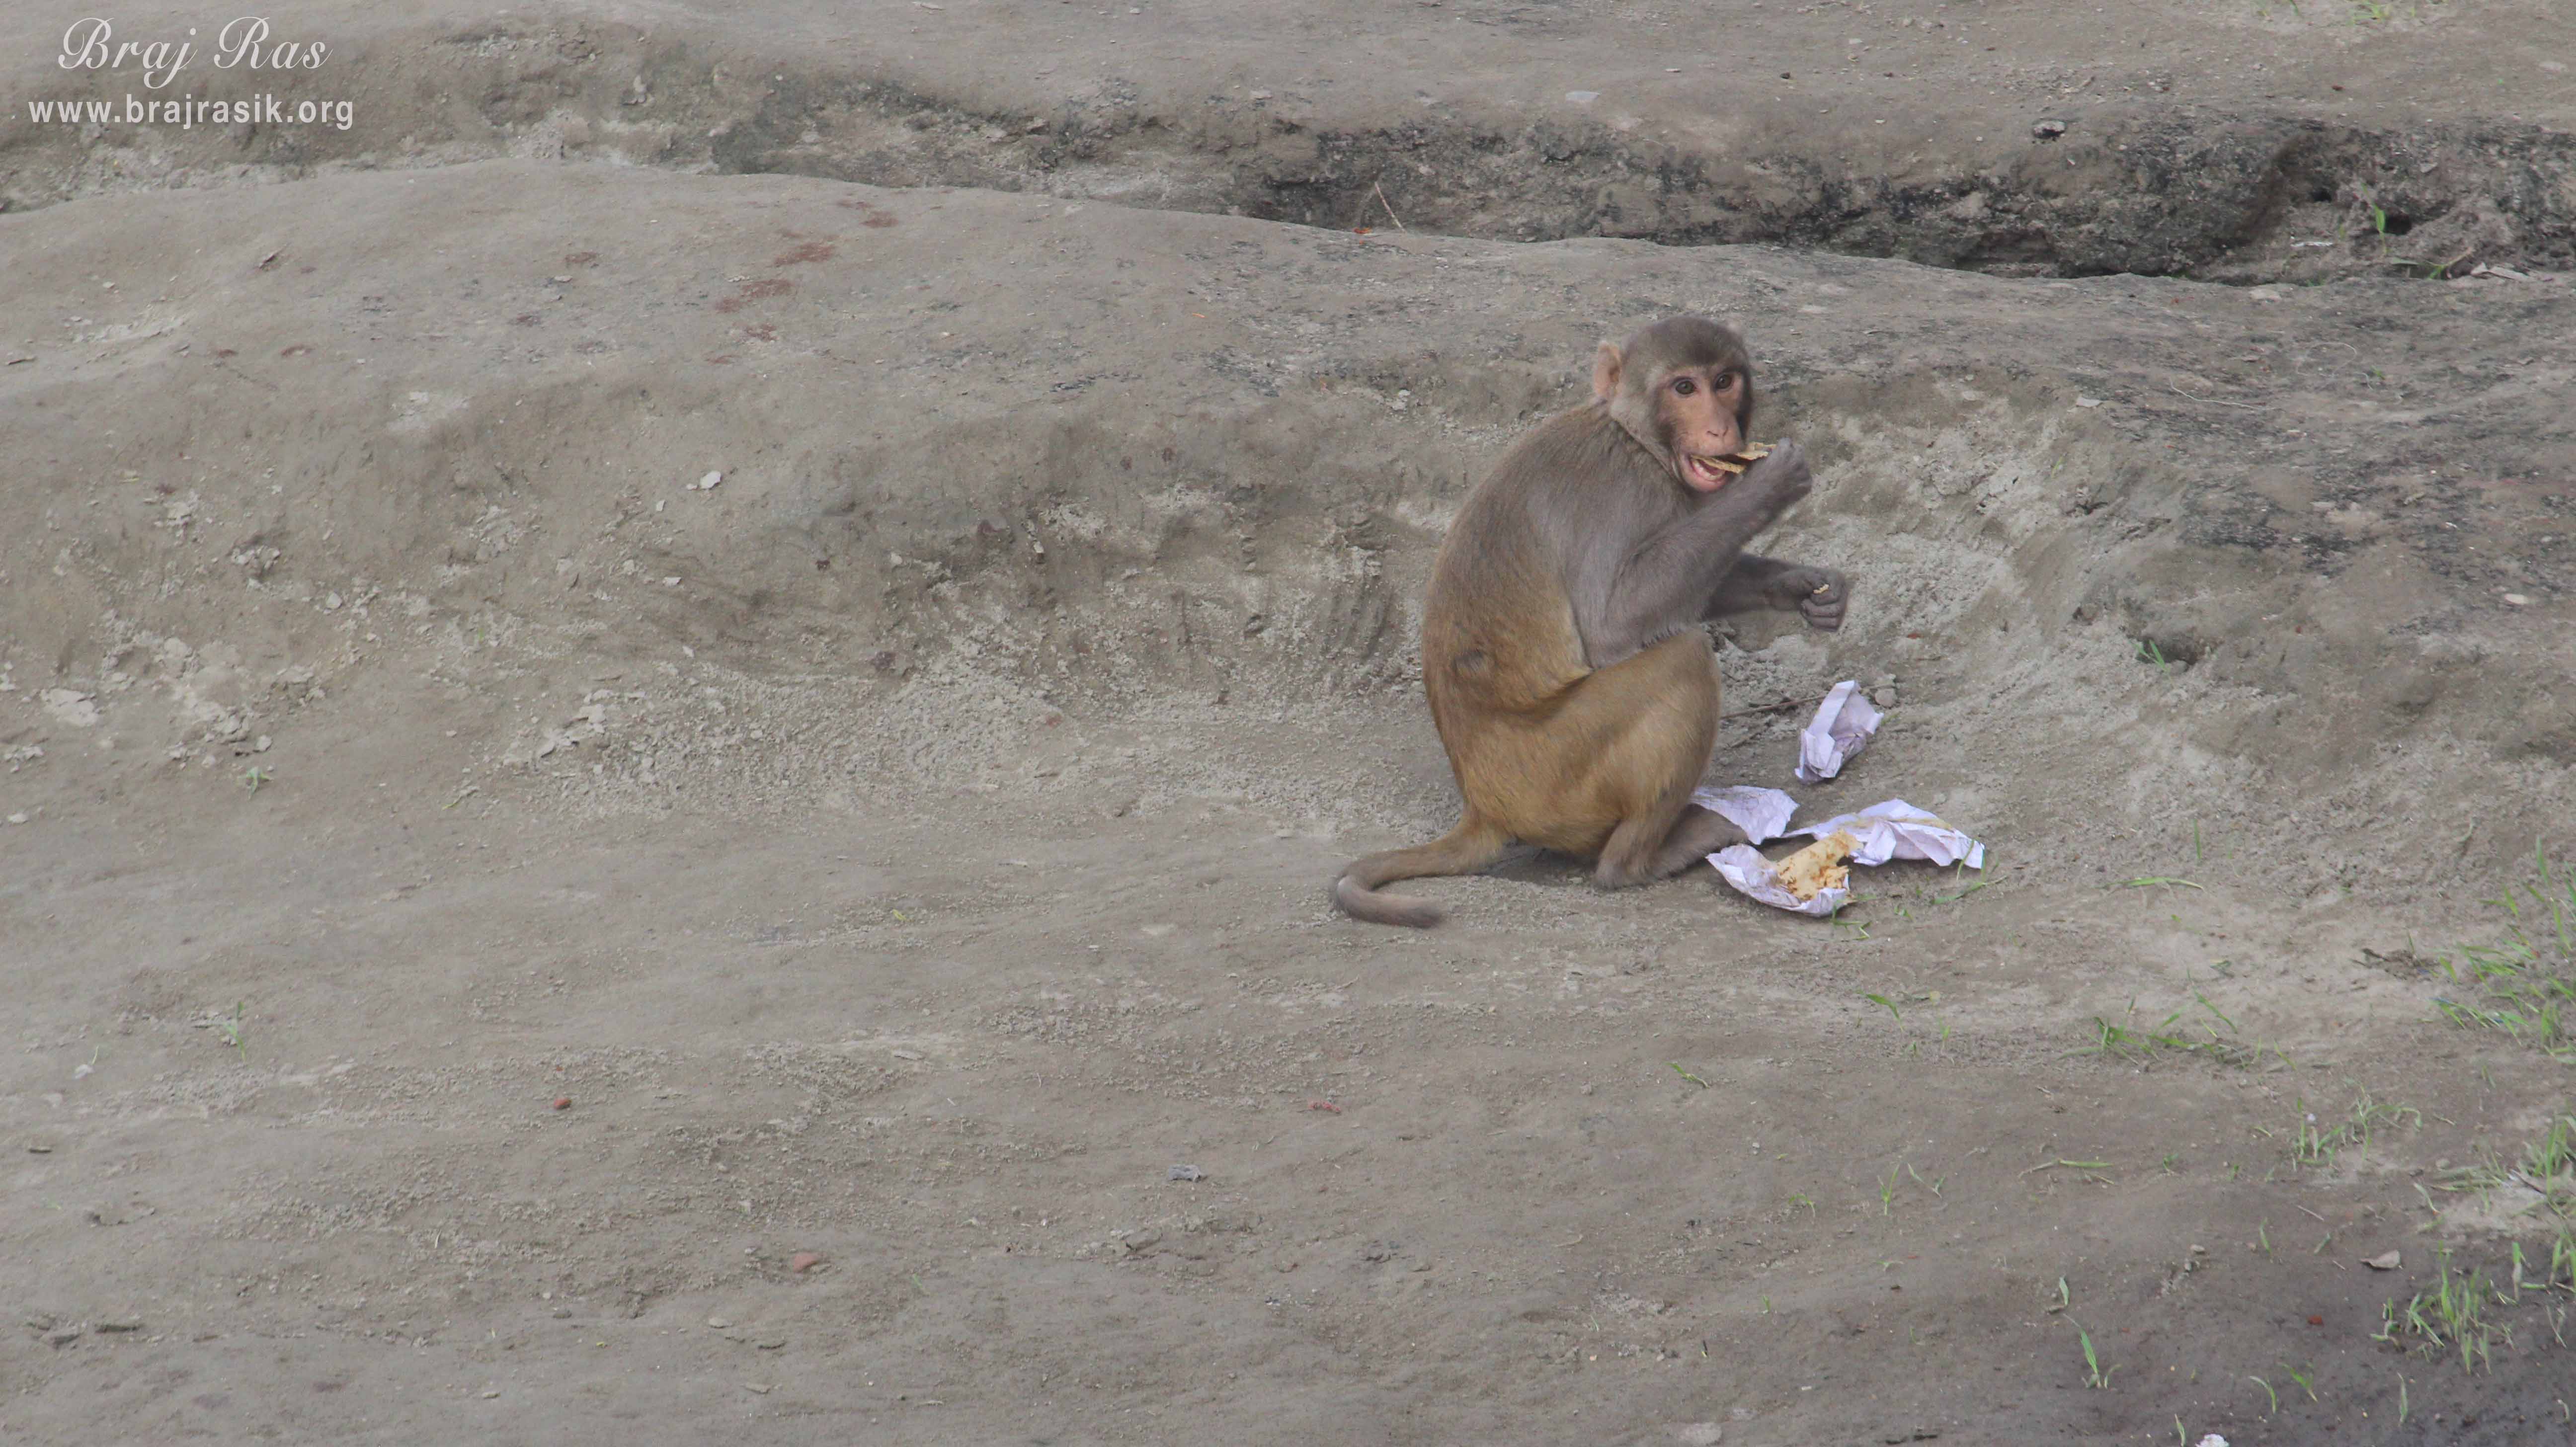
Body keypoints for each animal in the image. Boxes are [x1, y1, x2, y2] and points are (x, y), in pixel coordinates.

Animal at [1333, 316, 1848, 928]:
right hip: (1555, 776)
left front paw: (1802, 586)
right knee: (1686, 657)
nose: (1721, 427)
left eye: (1724, 381)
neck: (1634, 439)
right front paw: (1770, 483)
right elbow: (1613, 623)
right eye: (1685, 388)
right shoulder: (1622, 495)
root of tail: (1482, 806)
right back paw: (1638, 861)